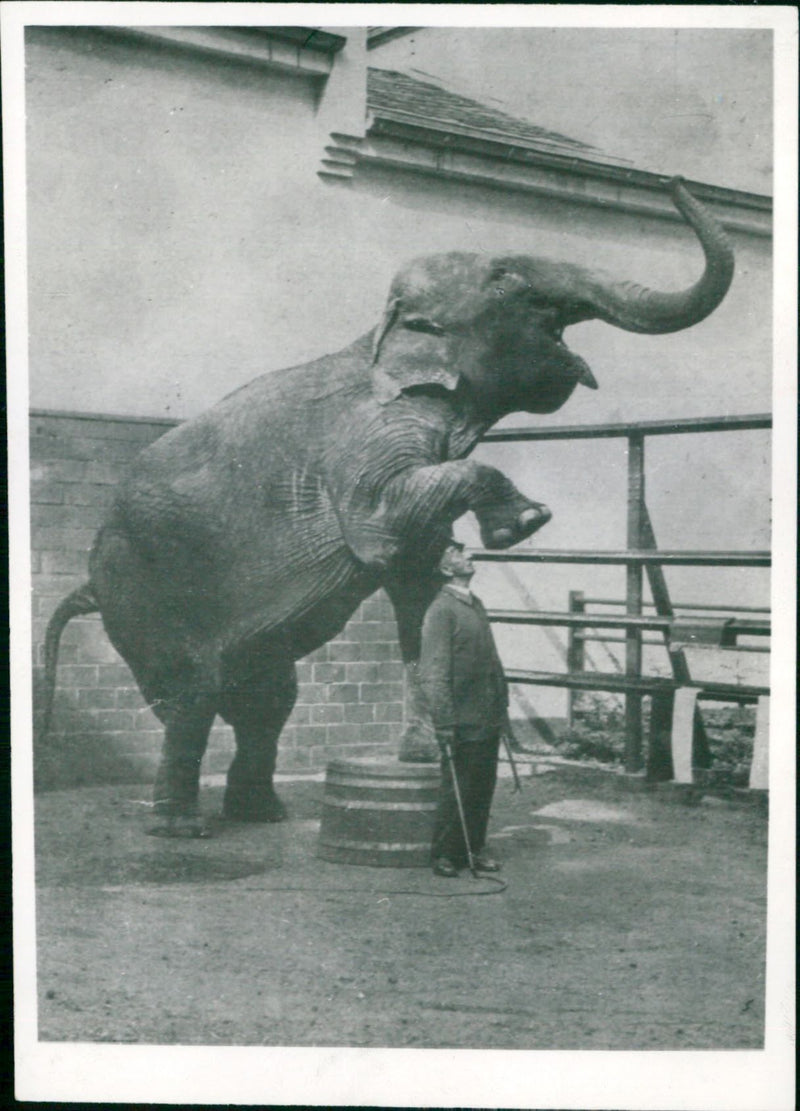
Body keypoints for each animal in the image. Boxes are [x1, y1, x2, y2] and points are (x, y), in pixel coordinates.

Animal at [40, 177, 734, 836]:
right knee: (192, 698)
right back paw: (183, 829)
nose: (671, 181)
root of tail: (89, 583)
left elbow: (419, 584)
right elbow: (380, 529)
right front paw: (525, 523)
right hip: (146, 597)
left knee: (267, 702)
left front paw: (424, 758)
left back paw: (261, 815)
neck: (379, 333)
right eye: (507, 281)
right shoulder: (365, 440)